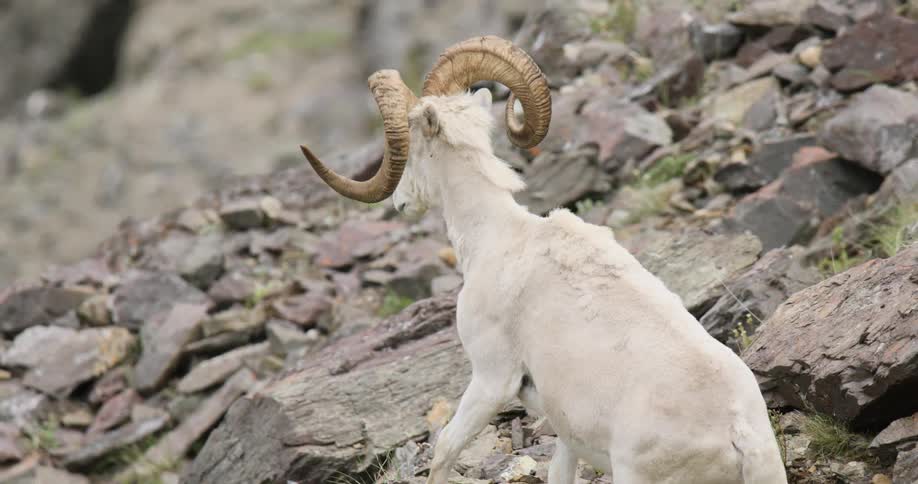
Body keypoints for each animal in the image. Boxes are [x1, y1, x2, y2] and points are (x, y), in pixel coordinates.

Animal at [300, 36, 787, 484]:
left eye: (412, 143)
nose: (401, 203)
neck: (500, 237)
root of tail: (738, 437)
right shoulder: (565, 429)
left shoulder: (491, 380)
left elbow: (444, 450)